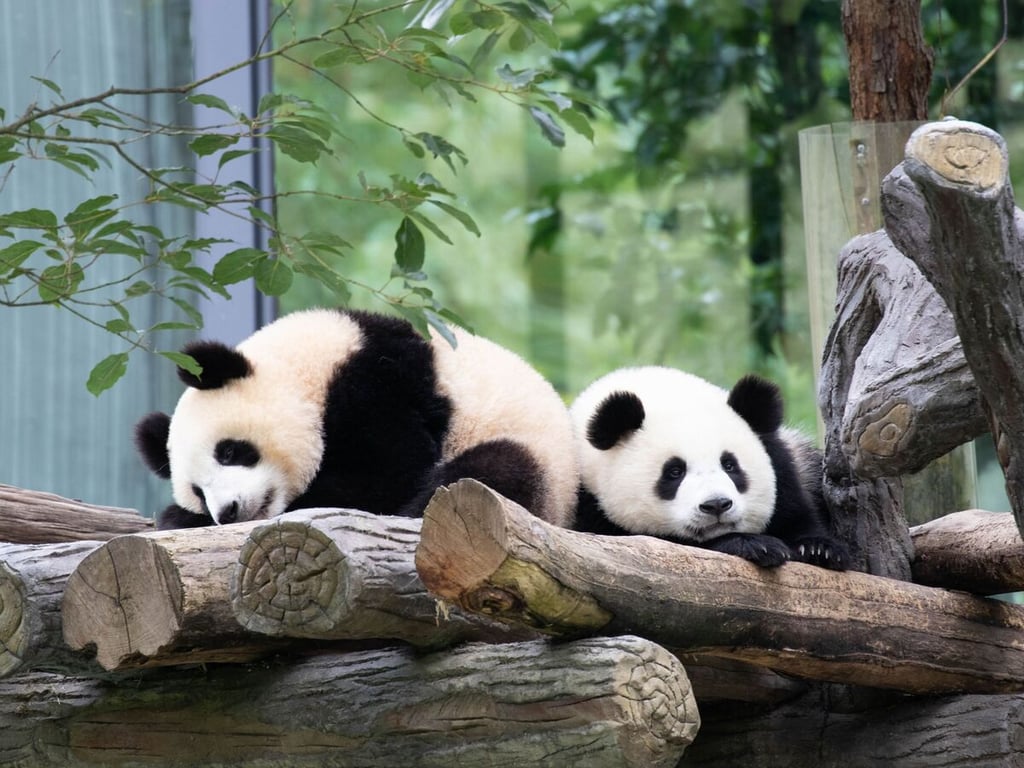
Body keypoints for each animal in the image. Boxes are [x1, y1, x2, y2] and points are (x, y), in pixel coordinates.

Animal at [134, 308, 578, 530]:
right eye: (197, 489)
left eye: (229, 451)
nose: (226, 512)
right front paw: (181, 517)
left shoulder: (374, 382)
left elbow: (387, 472)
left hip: (535, 465)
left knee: (494, 470)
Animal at [570, 366, 847, 570]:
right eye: (674, 472)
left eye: (730, 465)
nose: (716, 505)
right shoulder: (587, 504)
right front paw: (756, 545)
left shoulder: (784, 462)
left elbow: (795, 510)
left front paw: (817, 548)